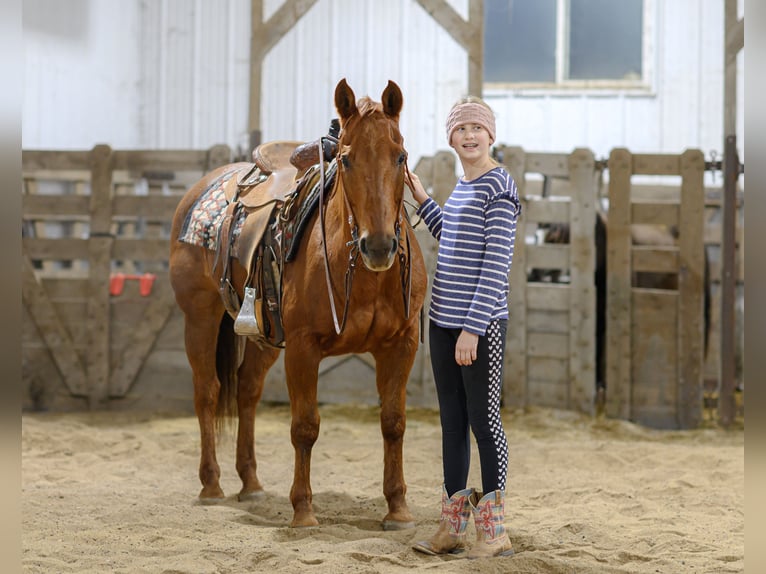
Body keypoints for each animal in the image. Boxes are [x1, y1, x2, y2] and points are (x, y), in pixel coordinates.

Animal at [169, 79, 427, 529]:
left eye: (401, 156)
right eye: (345, 160)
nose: (378, 246)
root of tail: (202, 187)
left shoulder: (401, 343)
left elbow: (393, 423)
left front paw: (398, 509)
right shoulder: (304, 348)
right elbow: (305, 426)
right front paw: (303, 511)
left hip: (263, 334)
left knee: (247, 390)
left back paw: (251, 483)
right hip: (199, 317)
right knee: (208, 391)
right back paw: (211, 485)